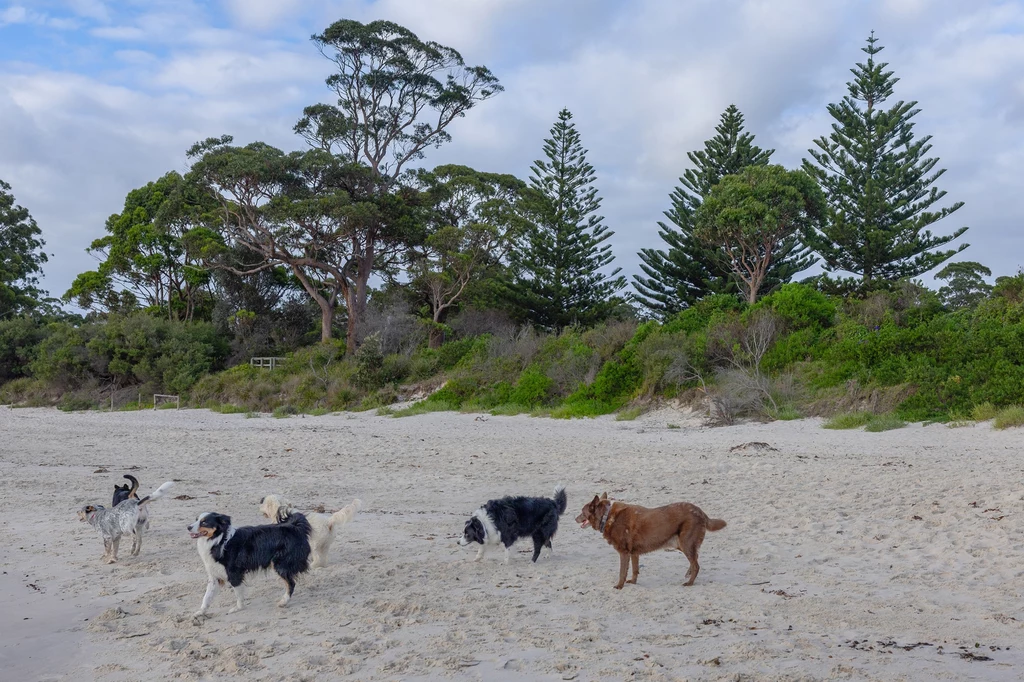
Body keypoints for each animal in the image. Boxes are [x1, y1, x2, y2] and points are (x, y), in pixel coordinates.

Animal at [577, 491, 729, 585]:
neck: (606, 516)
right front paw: (633, 582)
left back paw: (689, 582)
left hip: (685, 543)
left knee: (696, 564)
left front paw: (619, 586)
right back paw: (688, 574)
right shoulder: (634, 553)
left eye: (582, 512)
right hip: (681, 544)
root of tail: (700, 511)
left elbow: (622, 572)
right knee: (695, 559)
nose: (575, 518)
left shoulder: (624, 552)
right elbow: (635, 570)